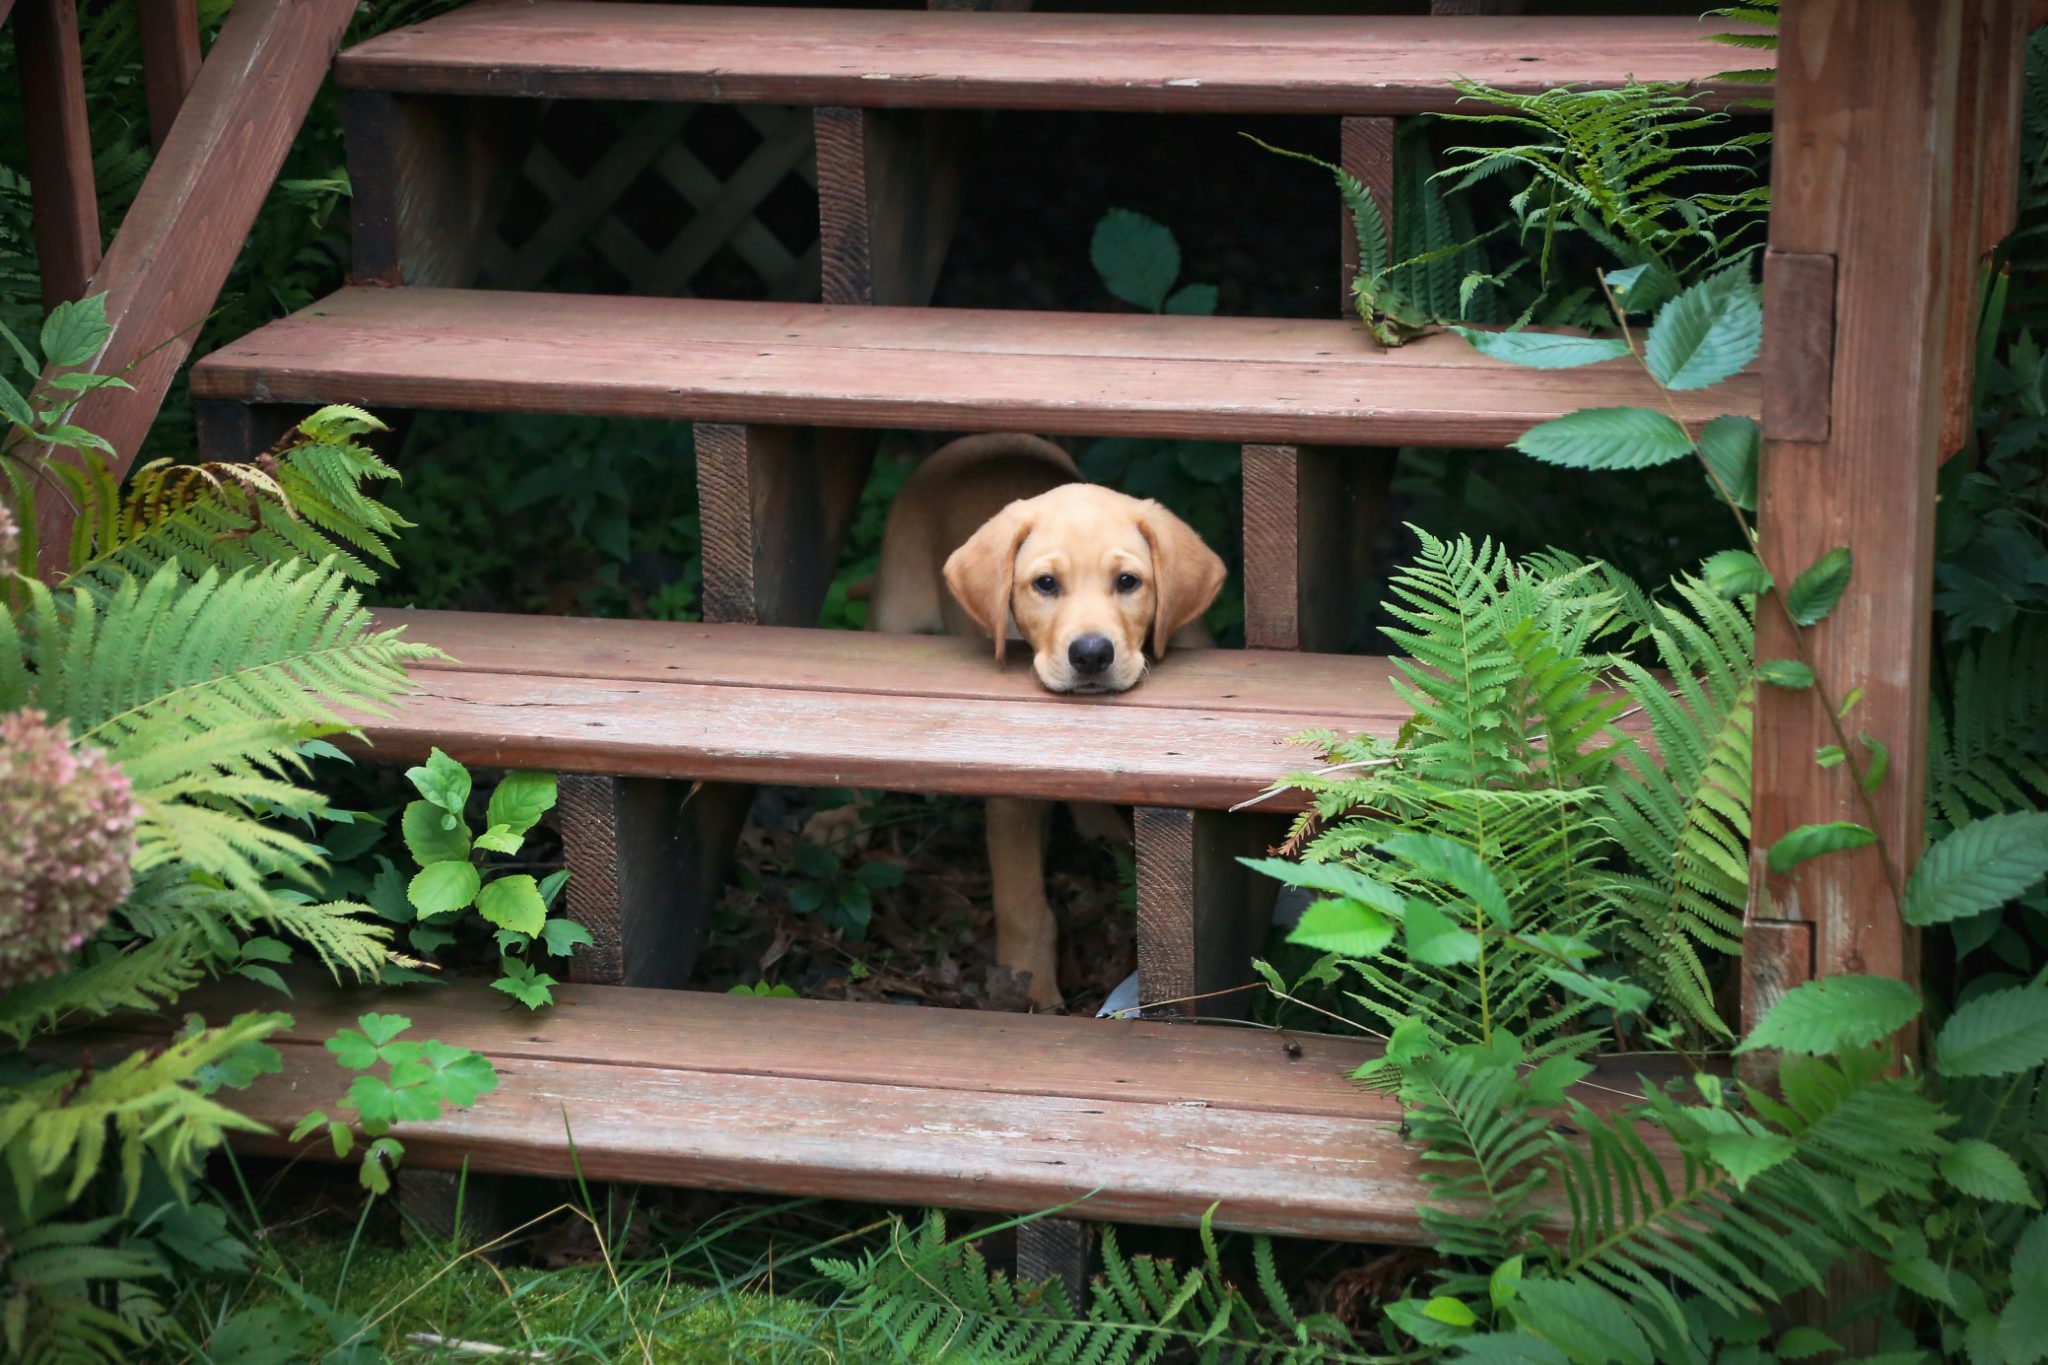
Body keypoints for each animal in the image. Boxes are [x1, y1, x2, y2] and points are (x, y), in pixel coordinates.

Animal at [868, 431, 1220, 1010]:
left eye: (1128, 581)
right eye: (1046, 584)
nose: (1092, 654)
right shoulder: (1010, 795)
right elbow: (1022, 902)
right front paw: (1030, 985)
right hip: (897, 612)